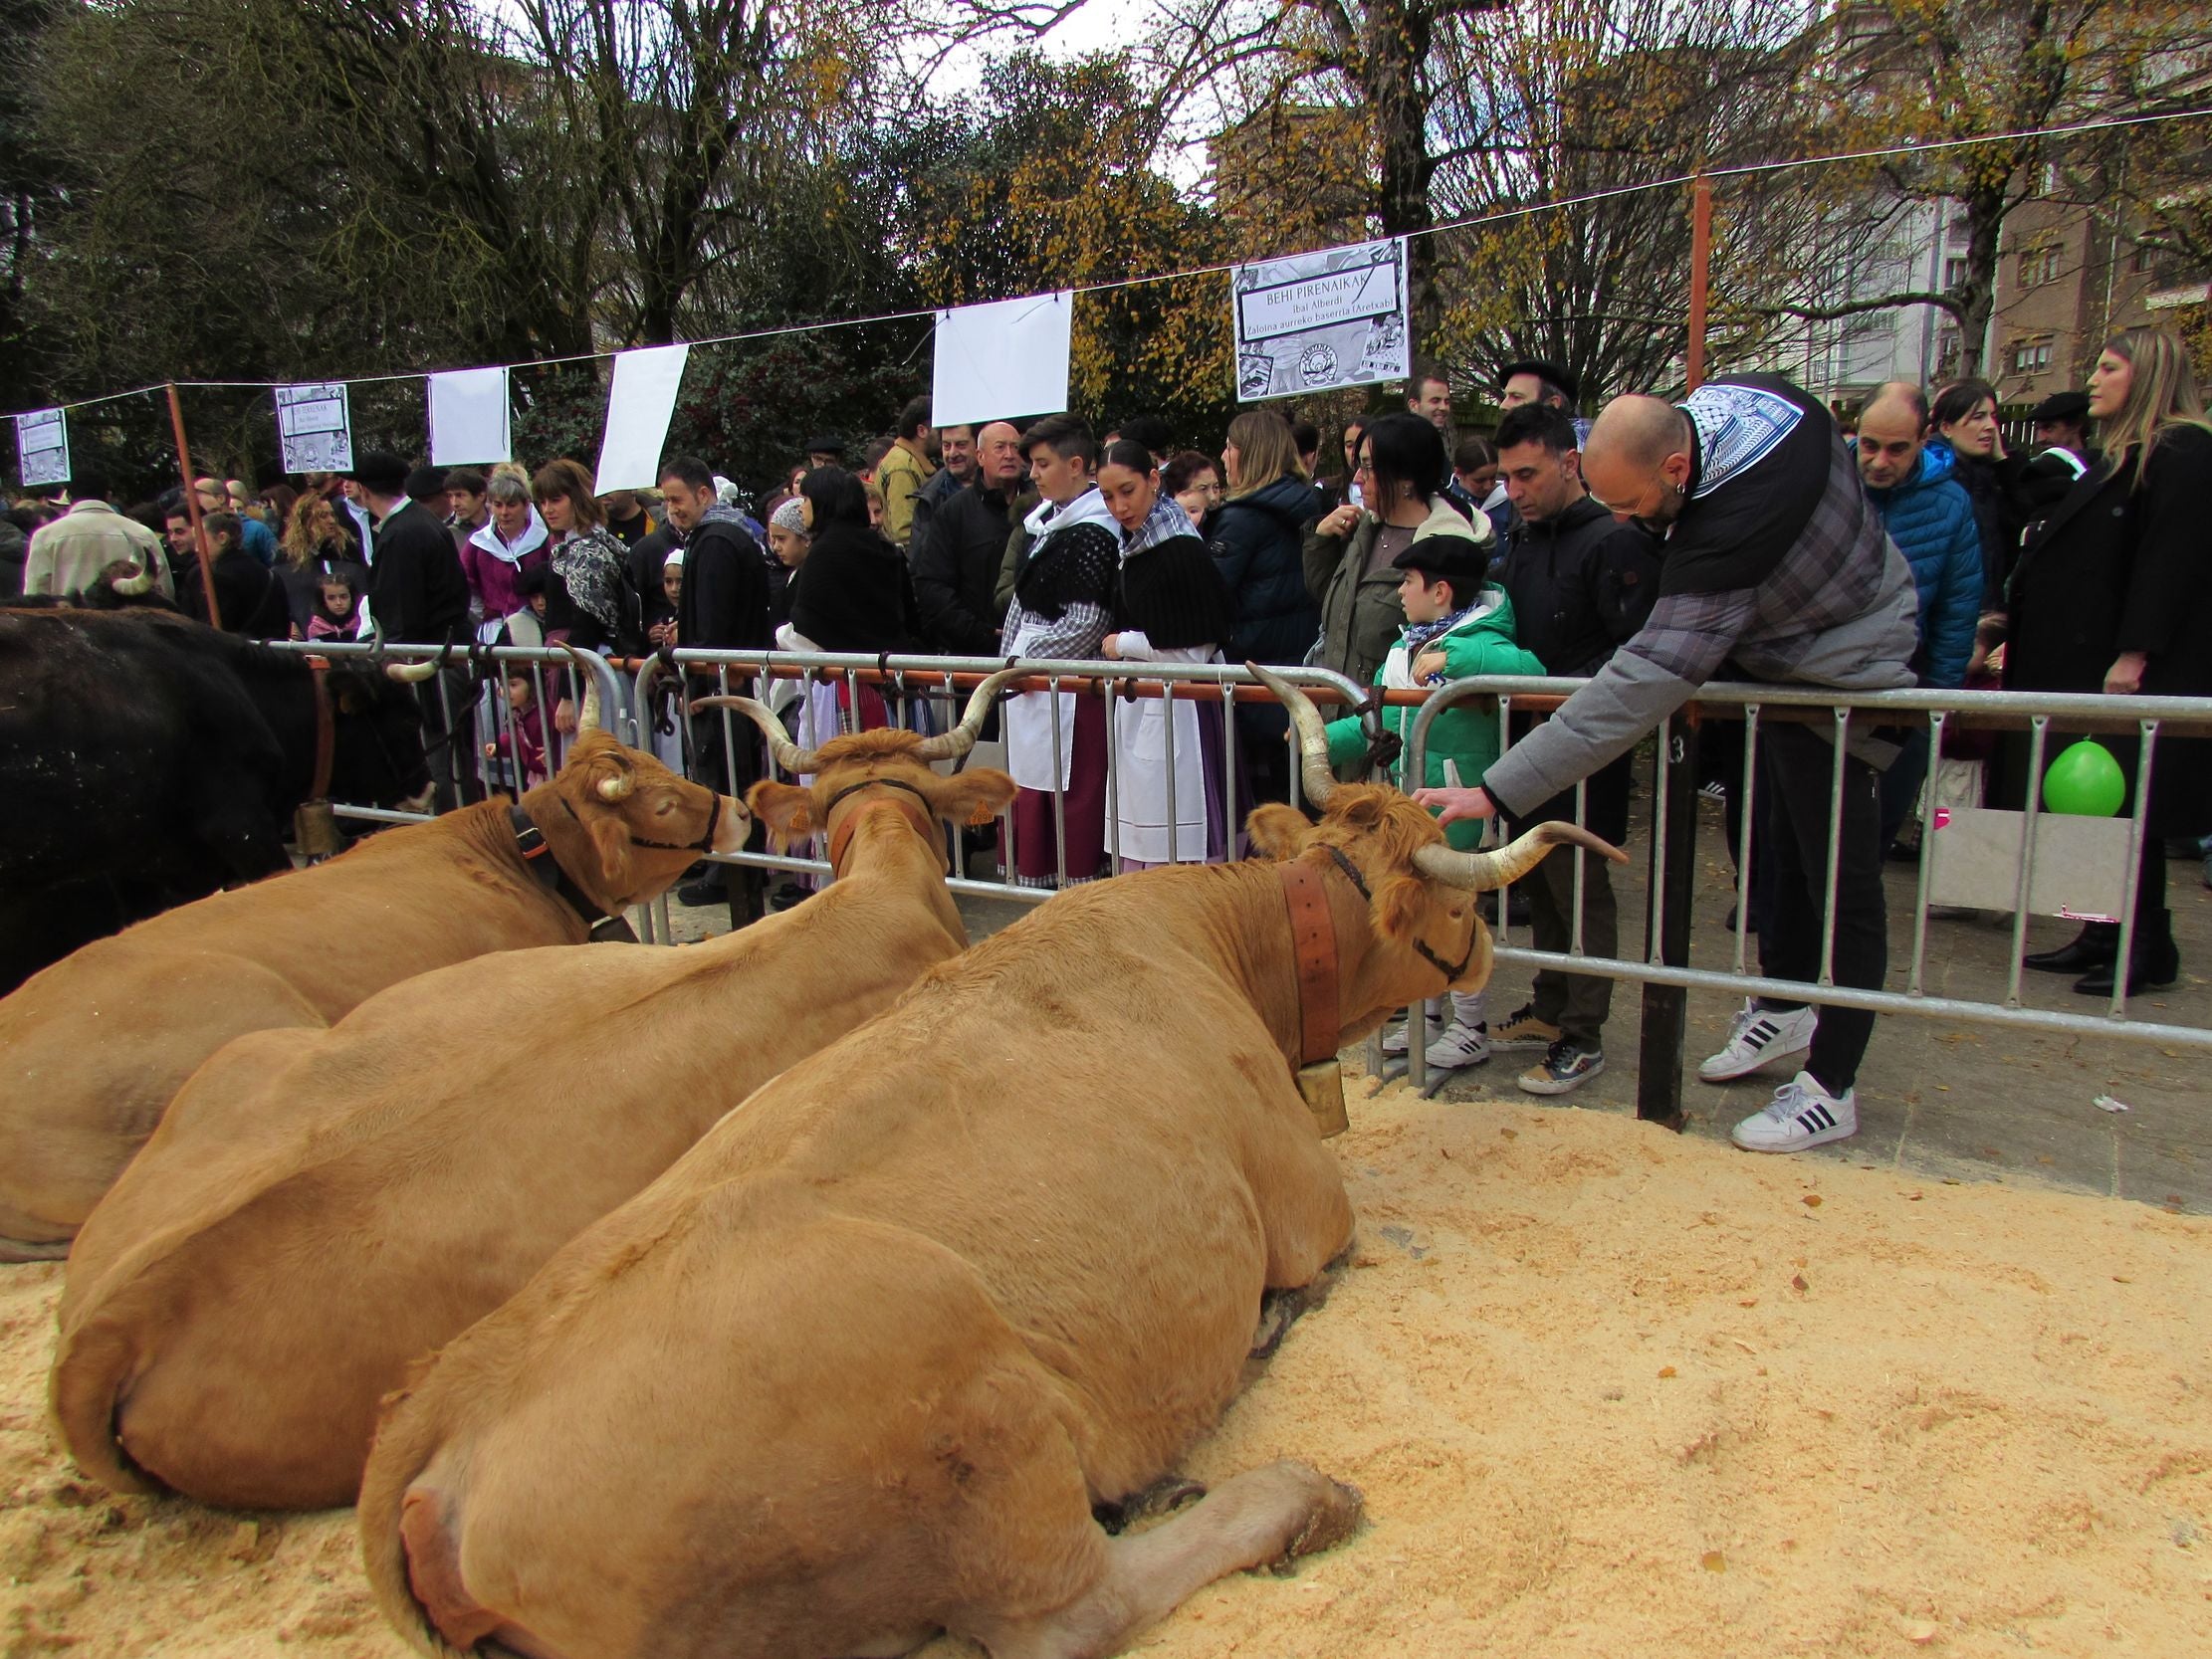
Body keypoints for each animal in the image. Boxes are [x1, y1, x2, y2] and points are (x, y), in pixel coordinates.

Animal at [362, 668, 1628, 1659]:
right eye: (1451, 905)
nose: (1484, 951)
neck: (1226, 944)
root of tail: (427, 1441)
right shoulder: (1311, 1203)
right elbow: (1329, 1254)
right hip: (976, 1420)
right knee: (1070, 1608)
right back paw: (1286, 1494)